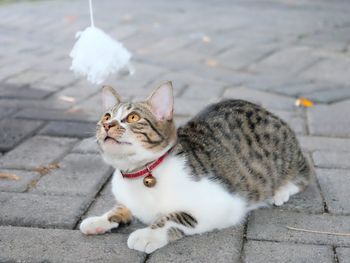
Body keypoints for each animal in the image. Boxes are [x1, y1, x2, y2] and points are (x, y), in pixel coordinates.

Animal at [79, 81, 312, 255]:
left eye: (133, 117)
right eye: (107, 116)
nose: (107, 125)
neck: (140, 173)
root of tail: (266, 111)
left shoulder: (225, 205)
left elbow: (176, 217)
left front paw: (148, 234)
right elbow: (120, 208)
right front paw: (100, 220)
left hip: (287, 159)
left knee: (304, 176)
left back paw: (281, 191)